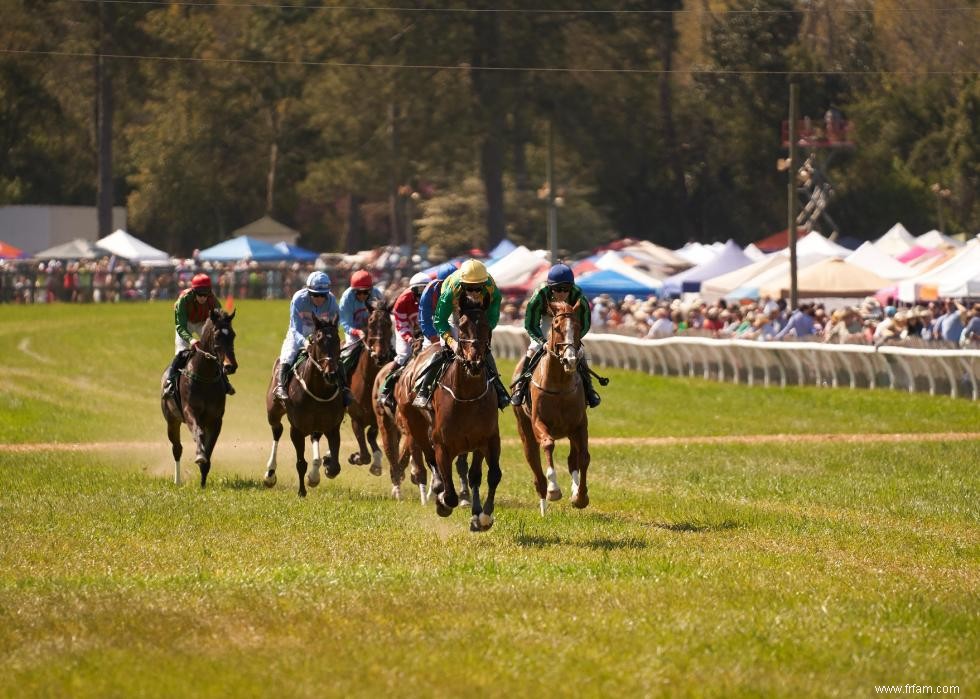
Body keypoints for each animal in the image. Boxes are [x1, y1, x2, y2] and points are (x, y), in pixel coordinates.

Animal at [162, 308, 238, 490]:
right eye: (217, 336)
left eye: (233, 334)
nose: (230, 366)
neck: (205, 375)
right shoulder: (190, 411)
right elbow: (199, 433)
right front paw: (199, 455)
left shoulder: (216, 419)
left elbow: (210, 446)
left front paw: (203, 479)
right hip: (171, 420)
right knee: (177, 449)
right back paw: (177, 480)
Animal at [262, 314, 346, 494]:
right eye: (318, 340)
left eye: (337, 340)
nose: (331, 374)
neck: (319, 391)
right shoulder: (297, 429)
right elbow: (300, 463)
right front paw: (301, 491)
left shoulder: (332, 427)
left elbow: (335, 466)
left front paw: (323, 469)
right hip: (273, 412)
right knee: (277, 431)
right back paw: (270, 474)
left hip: (316, 424)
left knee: (314, 436)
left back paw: (315, 473)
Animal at [342, 300, 392, 476]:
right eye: (370, 323)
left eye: (389, 323)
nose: (380, 356)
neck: (369, 380)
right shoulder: (356, 417)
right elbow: (364, 454)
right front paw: (355, 457)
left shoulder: (378, 415)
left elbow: (371, 435)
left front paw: (376, 463)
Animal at [512, 300, 588, 516]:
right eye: (556, 326)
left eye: (578, 326)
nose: (570, 360)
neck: (560, 383)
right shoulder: (538, 422)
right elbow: (547, 444)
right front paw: (554, 490)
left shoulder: (579, 424)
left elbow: (583, 457)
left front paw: (580, 497)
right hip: (524, 428)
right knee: (534, 462)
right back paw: (544, 504)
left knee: (573, 458)